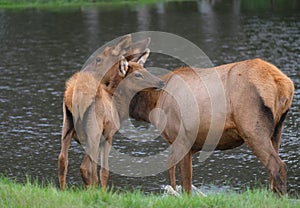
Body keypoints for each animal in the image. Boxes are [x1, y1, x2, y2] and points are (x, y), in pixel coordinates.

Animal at [58, 35, 164, 190]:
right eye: (138, 74)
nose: (161, 82)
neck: (118, 105)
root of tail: (74, 96)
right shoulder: (108, 135)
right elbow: (104, 171)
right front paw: (102, 191)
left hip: (67, 127)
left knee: (62, 161)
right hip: (94, 132)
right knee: (86, 167)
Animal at [130, 58, 294, 195]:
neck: (153, 104)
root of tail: (283, 85)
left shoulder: (182, 139)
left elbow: (185, 183)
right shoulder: (189, 144)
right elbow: (172, 167)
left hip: (252, 129)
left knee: (277, 166)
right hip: (277, 129)